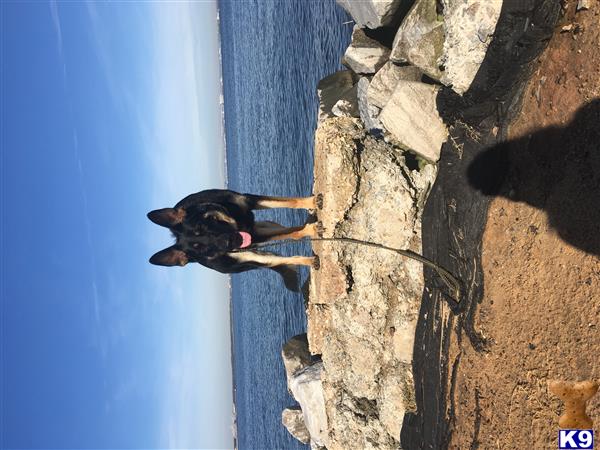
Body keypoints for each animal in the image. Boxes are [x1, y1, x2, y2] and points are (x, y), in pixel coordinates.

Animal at [148, 190, 322, 292]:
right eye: (207, 252)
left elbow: (290, 202)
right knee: (284, 258)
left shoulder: (249, 200)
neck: (233, 217)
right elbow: (294, 233)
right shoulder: (255, 236)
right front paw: (310, 230)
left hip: (265, 226)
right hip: (254, 258)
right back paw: (308, 259)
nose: (232, 242)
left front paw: (310, 203)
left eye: (201, 226)